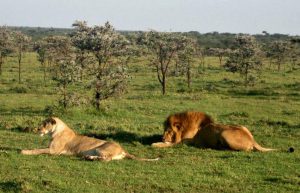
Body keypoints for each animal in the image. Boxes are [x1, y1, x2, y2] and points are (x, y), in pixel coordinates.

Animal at [21, 117, 159, 161]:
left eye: (44, 124)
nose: (38, 129)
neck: (55, 131)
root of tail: (123, 149)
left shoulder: (53, 151)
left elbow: (37, 150)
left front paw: (23, 151)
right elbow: (38, 148)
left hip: (100, 149)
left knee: (106, 159)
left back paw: (91, 158)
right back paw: (88, 157)